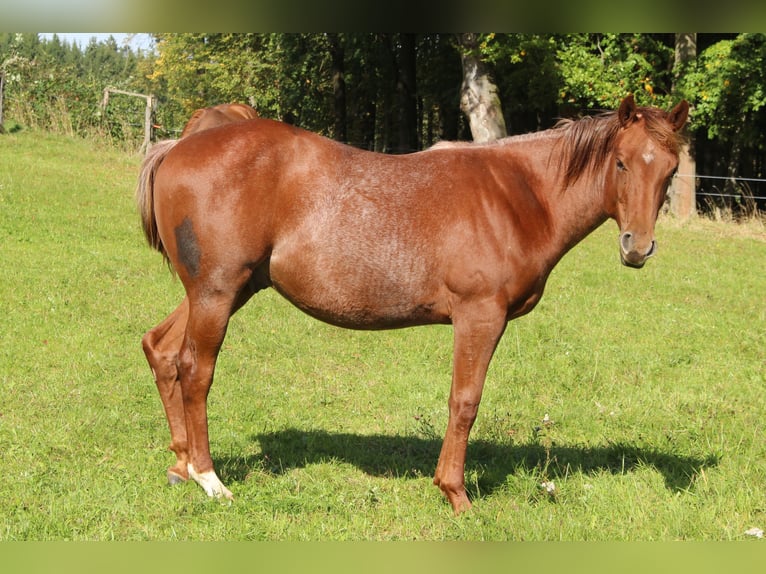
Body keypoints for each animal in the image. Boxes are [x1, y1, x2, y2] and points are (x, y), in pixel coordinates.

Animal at [135, 94, 688, 514]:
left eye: (670, 169)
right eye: (621, 162)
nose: (637, 247)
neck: (519, 196)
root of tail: (180, 146)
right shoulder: (479, 316)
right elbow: (464, 402)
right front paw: (455, 493)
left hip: (224, 291)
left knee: (161, 350)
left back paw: (181, 464)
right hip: (217, 293)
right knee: (195, 370)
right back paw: (209, 478)